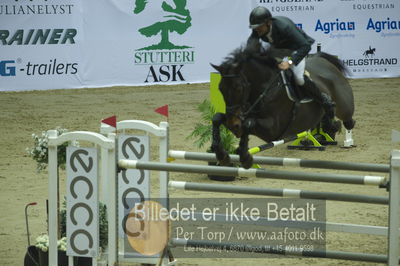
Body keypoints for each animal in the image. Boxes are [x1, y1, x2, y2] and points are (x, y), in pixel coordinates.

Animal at [211, 46, 354, 169]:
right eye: (220, 89)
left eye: (238, 88)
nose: (233, 125)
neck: (265, 88)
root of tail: (323, 60)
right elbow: (217, 118)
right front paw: (222, 155)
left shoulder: (273, 130)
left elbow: (248, 124)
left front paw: (245, 158)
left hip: (344, 105)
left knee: (347, 118)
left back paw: (343, 130)